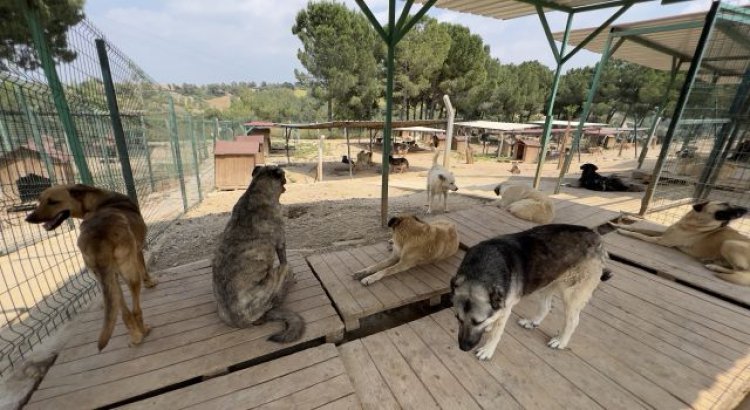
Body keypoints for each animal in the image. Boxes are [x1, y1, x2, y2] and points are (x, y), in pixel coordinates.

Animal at [25, 184, 157, 350]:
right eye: (41, 201)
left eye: (52, 201)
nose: (28, 218)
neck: (99, 202)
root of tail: (98, 235)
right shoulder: (138, 251)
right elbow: (143, 268)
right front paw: (150, 282)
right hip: (128, 274)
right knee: (135, 309)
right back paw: (143, 331)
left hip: (107, 279)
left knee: (123, 311)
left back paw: (135, 335)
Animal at [212, 165, 306, 342]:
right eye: (283, 175)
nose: (286, 180)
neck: (256, 191)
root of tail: (241, 320)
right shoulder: (281, 244)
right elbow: (283, 258)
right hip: (280, 274)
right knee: (280, 287)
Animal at [452, 223, 612, 360]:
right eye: (458, 318)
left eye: (479, 322)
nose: (463, 348)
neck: (479, 271)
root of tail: (597, 236)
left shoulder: (506, 309)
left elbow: (495, 333)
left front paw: (488, 350)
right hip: (547, 281)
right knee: (546, 307)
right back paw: (532, 322)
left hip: (572, 295)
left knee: (573, 321)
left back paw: (561, 341)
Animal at [612, 201, 750, 286]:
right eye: (725, 203)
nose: (745, 209)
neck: (695, 223)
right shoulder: (664, 233)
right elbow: (641, 229)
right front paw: (619, 225)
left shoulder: (662, 240)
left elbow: (639, 235)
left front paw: (623, 231)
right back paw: (713, 263)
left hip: (729, 243)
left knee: (742, 272)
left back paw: (714, 267)